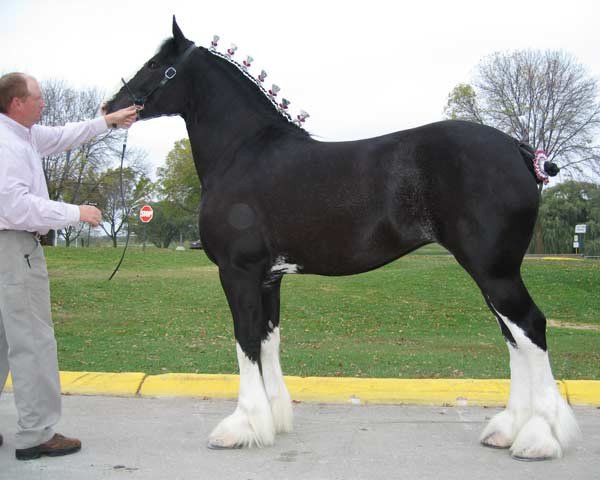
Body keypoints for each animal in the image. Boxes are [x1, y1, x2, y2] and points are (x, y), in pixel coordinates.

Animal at [105, 18, 580, 462]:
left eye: (155, 64)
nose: (111, 107)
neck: (244, 152)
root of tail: (518, 149)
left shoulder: (238, 273)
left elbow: (245, 341)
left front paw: (241, 426)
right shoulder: (269, 277)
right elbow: (267, 340)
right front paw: (274, 420)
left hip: (495, 271)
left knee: (531, 327)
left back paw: (537, 438)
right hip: (492, 273)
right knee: (514, 337)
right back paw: (508, 430)